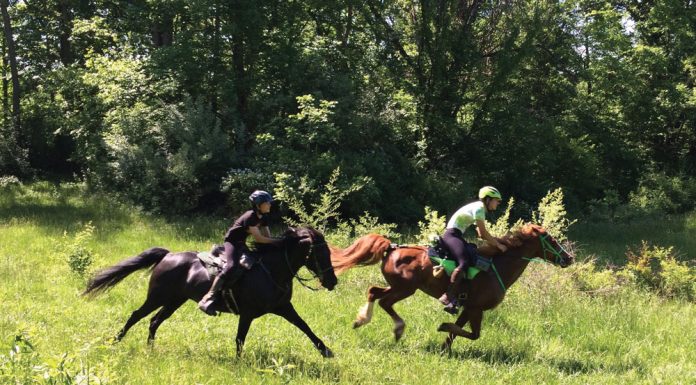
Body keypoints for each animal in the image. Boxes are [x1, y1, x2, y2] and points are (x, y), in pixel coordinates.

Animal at [83, 226, 338, 356]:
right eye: (321, 253)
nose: (332, 281)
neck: (272, 271)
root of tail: (167, 255)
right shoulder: (247, 314)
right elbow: (240, 339)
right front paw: (238, 365)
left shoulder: (283, 307)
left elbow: (304, 326)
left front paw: (326, 351)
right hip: (158, 296)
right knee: (137, 315)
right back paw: (114, 341)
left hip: (175, 300)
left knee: (154, 321)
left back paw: (150, 349)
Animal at [328, 222, 572, 352]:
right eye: (551, 240)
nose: (568, 258)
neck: (497, 268)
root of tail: (392, 247)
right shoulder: (476, 309)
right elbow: (471, 334)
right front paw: (443, 326)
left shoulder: (468, 308)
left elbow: (459, 332)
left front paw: (444, 349)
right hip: (405, 288)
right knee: (384, 301)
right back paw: (397, 328)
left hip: (397, 286)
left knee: (373, 292)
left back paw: (361, 320)